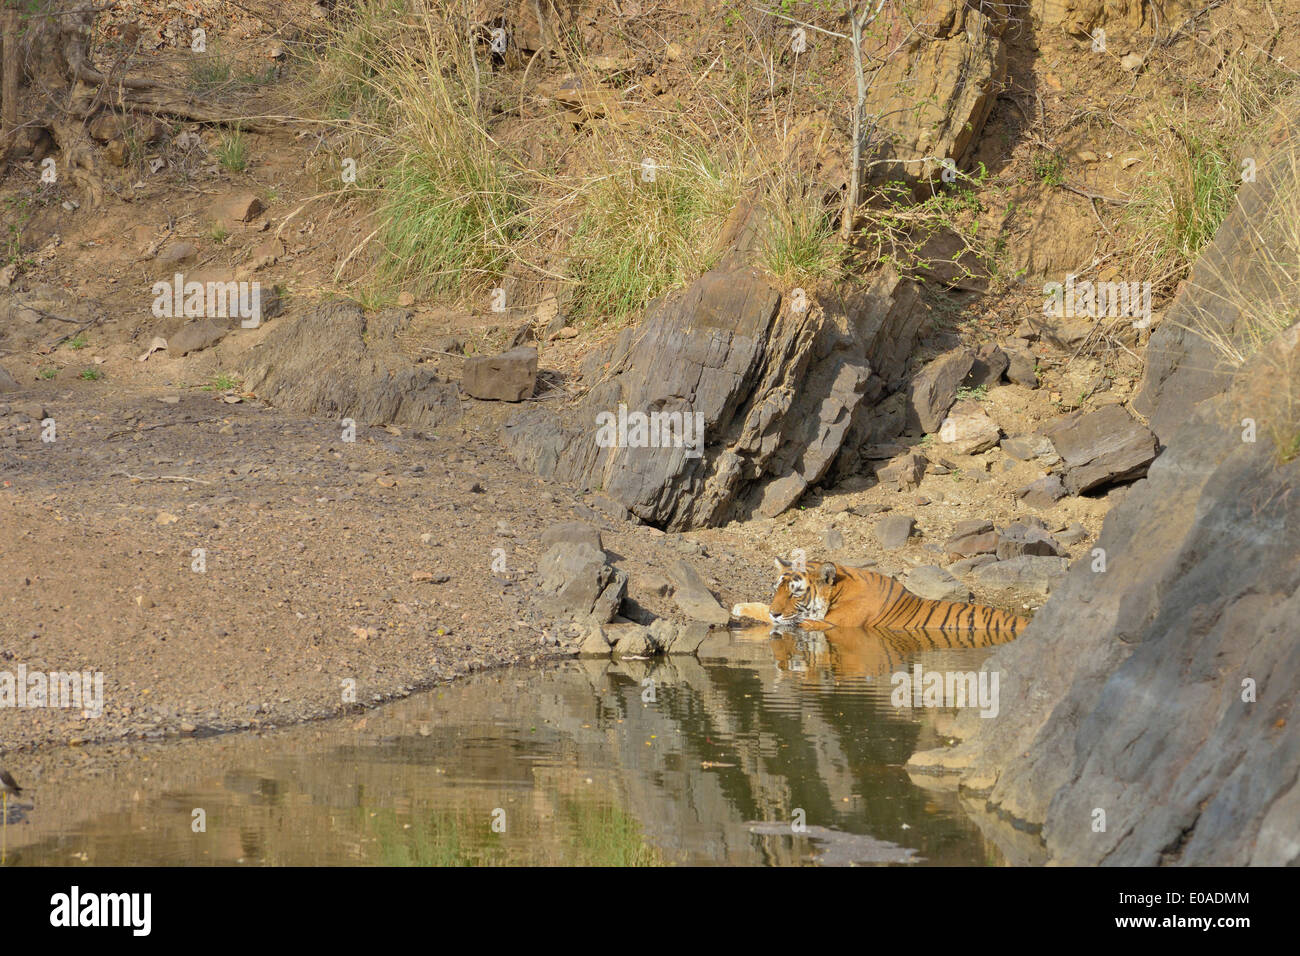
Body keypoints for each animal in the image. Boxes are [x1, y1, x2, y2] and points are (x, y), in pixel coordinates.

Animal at [738, 556, 1029, 639]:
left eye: (795, 592)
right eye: (777, 589)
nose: (776, 611)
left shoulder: (828, 624)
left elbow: (775, 618)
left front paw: (740, 607)